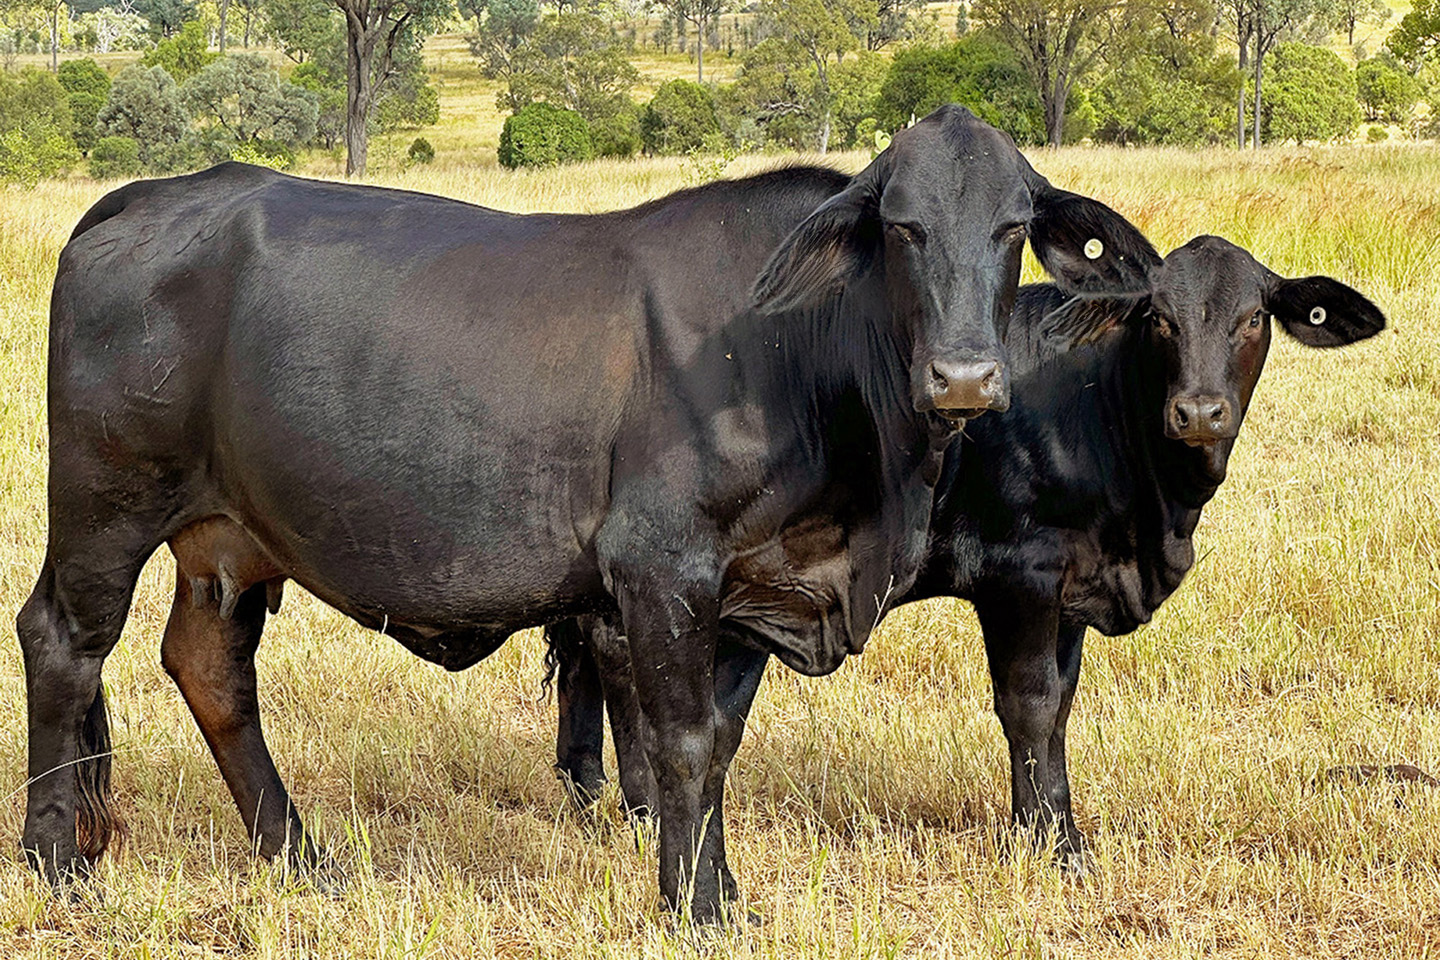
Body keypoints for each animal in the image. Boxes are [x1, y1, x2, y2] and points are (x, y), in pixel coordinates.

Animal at [19, 104, 1159, 921]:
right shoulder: (663, 570)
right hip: (106, 507)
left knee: (210, 669)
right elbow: (681, 744)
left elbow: (711, 748)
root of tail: (149, 198)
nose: (965, 376)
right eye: (904, 228)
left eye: (1012, 228)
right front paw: (699, 909)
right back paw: (55, 861)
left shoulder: (744, 592)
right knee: (63, 643)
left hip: (229, 538)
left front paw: (711, 884)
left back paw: (299, 856)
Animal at [547, 235, 1387, 865]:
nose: (1200, 411)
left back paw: (587, 787)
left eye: (1253, 318)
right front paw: (1055, 847)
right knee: (615, 658)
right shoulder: (1022, 574)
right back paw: (638, 809)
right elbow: (1029, 705)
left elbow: (1059, 709)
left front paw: (1039, 830)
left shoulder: (1074, 588)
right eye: (1159, 320)